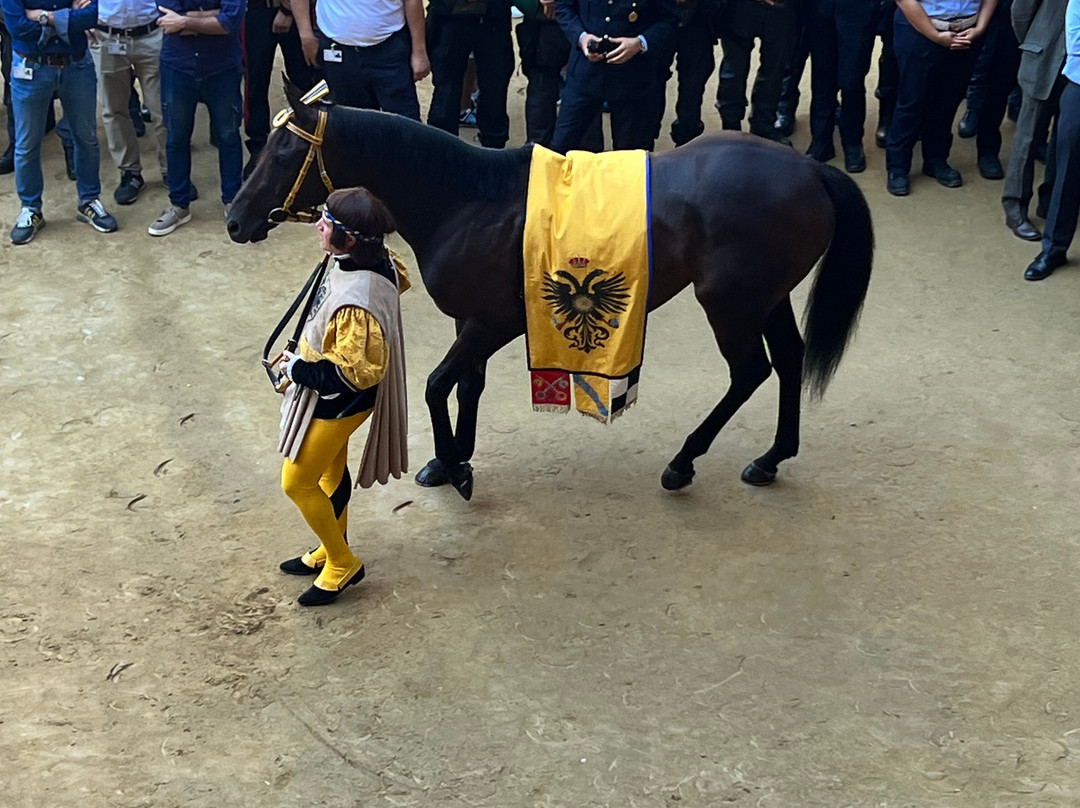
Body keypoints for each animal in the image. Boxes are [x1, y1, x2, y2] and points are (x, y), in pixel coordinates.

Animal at [230, 82, 876, 499]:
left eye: (283, 152)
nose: (236, 220)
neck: (469, 201)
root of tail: (810, 168)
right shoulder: (472, 322)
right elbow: (467, 387)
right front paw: (452, 459)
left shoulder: (493, 323)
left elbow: (438, 385)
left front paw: (454, 466)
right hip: (768, 296)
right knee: (788, 360)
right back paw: (770, 458)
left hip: (731, 302)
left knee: (750, 372)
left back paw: (683, 462)